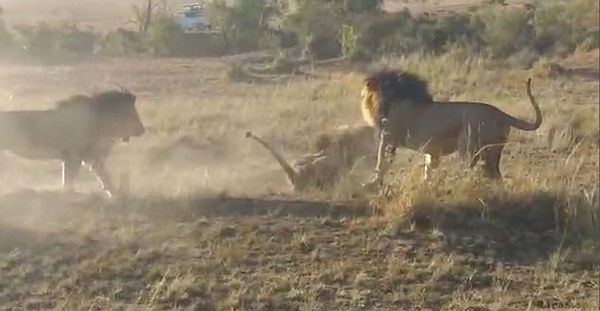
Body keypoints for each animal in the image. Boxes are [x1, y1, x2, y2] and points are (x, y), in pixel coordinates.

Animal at [0, 88, 144, 199]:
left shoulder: (85, 156)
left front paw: (114, 194)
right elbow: (75, 178)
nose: (142, 130)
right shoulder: (78, 156)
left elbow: (99, 175)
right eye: (133, 113)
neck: (99, 120)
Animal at [360, 68, 544, 186]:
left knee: (468, 169)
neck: (389, 98)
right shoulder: (431, 150)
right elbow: (429, 167)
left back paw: (457, 183)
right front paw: (426, 183)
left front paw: (374, 182)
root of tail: (501, 114)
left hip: (468, 144)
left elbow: (381, 161)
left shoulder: (388, 137)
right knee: (495, 175)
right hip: (492, 151)